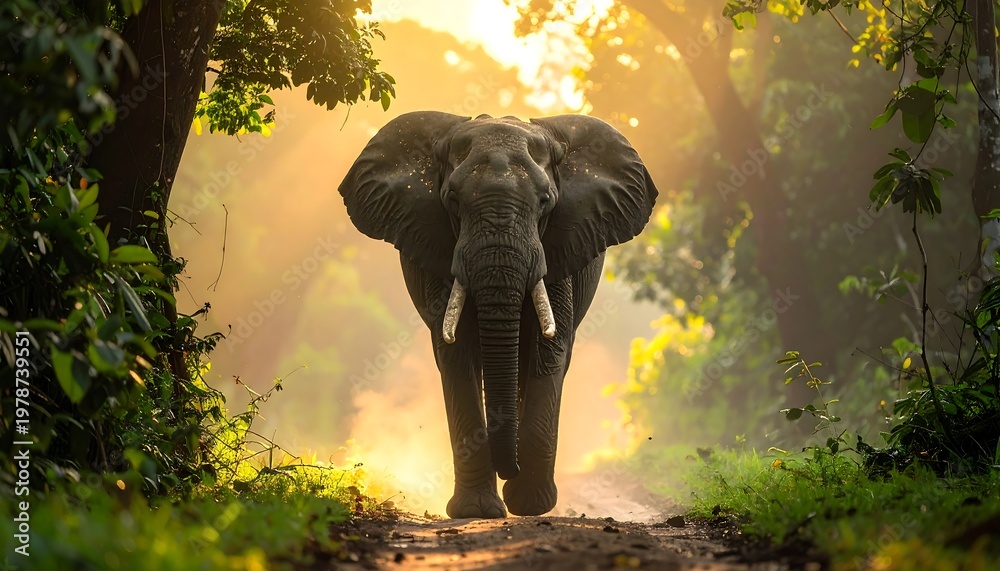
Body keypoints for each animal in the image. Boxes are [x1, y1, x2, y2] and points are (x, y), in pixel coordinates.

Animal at [338, 111, 657, 518]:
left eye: (545, 201)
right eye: (452, 200)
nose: (510, 469)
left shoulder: (559, 250)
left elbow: (548, 351)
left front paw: (529, 506)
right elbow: (457, 354)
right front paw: (477, 511)